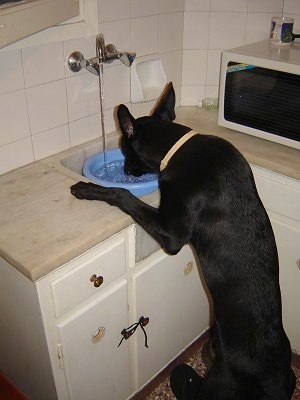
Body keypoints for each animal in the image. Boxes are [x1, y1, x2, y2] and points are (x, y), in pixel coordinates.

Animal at [70, 83, 296, 398]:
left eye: (124, 148)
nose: (125, 171)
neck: (177, 147)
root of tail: (276, 382)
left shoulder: (172, 235)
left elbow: (124, 195)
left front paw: (88, 188)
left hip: (218, 385)